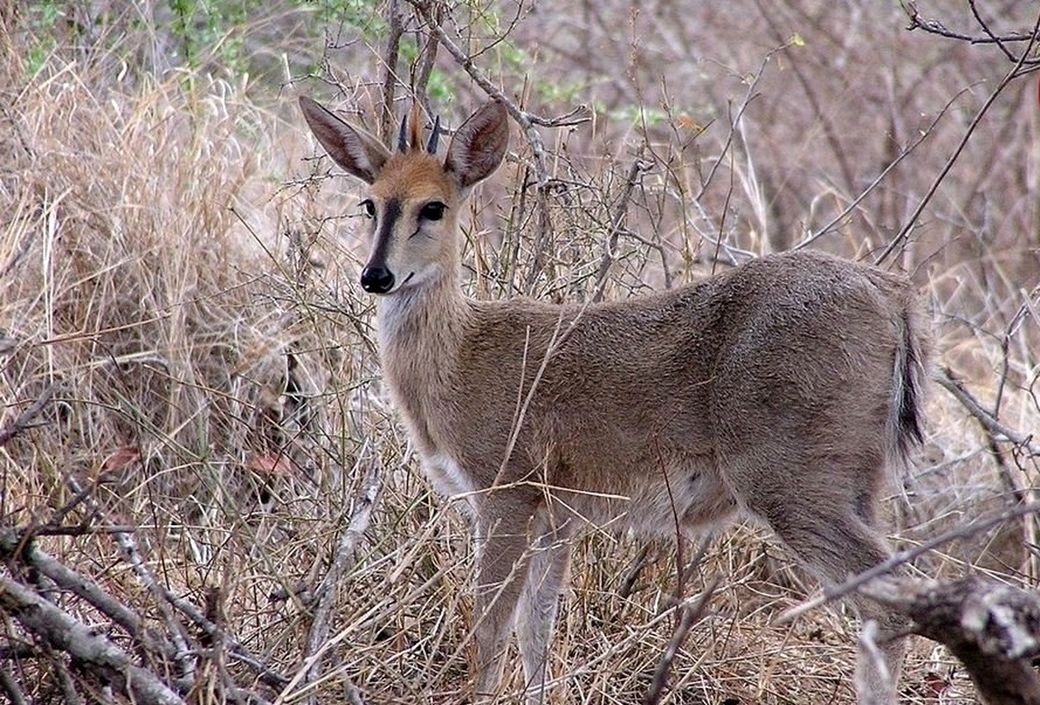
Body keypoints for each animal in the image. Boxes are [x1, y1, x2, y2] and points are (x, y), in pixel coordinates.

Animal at [299, 95, 927, 705]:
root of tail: (893, 295)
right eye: (370, 204)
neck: (456, 360)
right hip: (858, 484)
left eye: (433, 207)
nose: (376, 275)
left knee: (889, 604)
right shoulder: (556, 515)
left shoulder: (506, 490)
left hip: (789, 478)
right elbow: (536, 633)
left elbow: (489, 632)